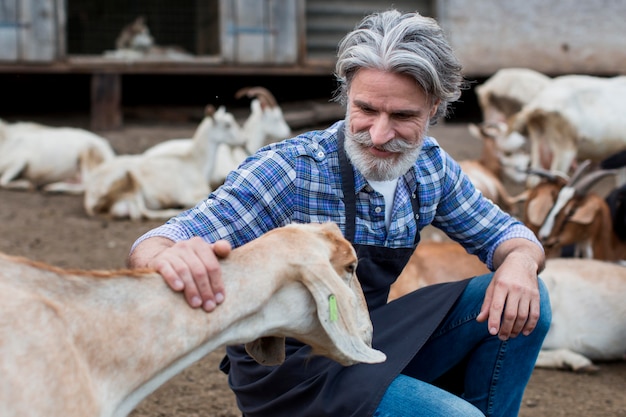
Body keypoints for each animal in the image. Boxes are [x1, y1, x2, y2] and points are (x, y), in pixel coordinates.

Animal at [83, 105, 239, 219]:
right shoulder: (191, 193)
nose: (241, 139)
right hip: (129, 180)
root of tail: (89, 198)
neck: (196, 164)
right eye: (227, 124)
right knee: (140, 212)